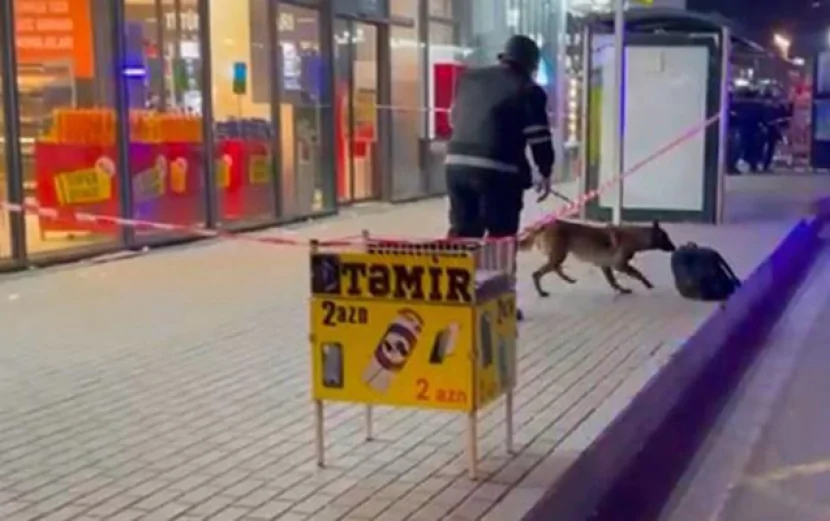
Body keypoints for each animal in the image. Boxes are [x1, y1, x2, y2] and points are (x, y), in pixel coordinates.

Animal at [524, 217, 680, 294]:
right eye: (666, 238)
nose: (675, 248)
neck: (635, 237)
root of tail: (544, 226)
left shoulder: (606, 266)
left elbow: (613, 281)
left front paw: (621, 290)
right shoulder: (619, 265)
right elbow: (637, 273)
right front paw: (647, 284)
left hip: (558, 256)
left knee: (555, 268)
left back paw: (568, 279)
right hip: (559, 255)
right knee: (537, 274)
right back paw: (542, 292)